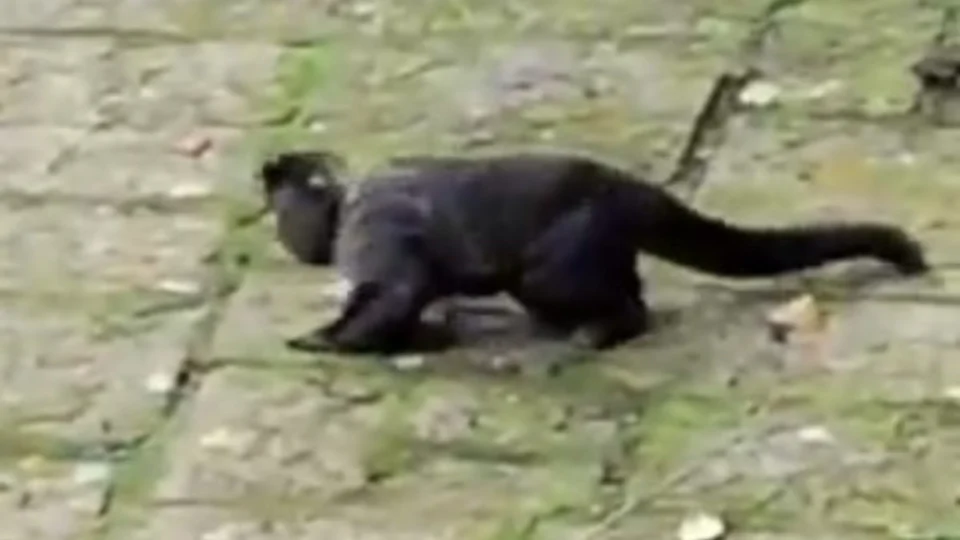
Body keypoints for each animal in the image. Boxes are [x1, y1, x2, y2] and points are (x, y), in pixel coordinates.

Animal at [257, 150, 929, 355]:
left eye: (283, 216)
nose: (286, 241)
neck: (347, 205)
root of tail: (625, 186)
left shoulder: (374, 236)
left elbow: (394, 296)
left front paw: (321, 339)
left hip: (557, 263)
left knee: (627, 306)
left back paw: (593, 332)